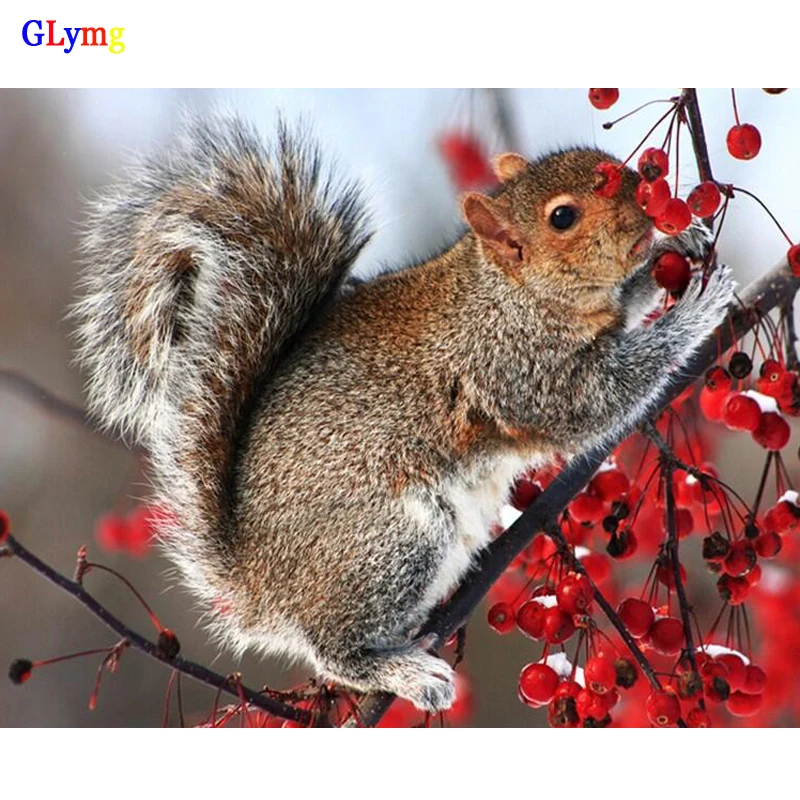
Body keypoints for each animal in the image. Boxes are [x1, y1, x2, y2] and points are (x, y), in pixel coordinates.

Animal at [73, 114, 735, 712]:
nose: (649, 204)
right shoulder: (518, 370)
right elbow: (602, 398)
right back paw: (404, 673)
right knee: (331, 649)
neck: (510, 291)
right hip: (395, 540)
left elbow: (630, 302)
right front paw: (696, 310)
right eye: (563, 218)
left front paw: (682, 246)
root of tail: (259, 584)